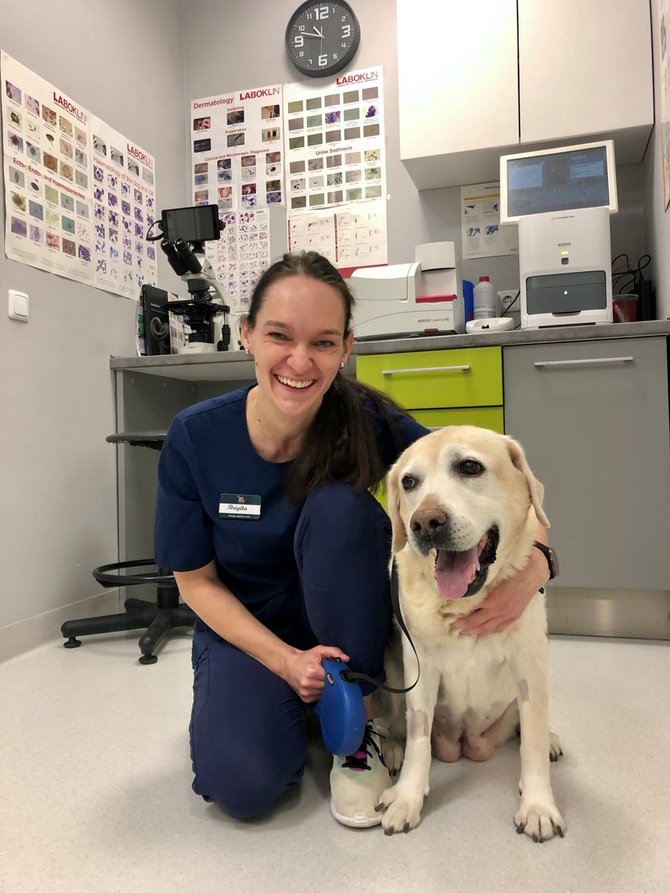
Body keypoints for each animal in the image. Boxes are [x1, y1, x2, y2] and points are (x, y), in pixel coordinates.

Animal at [378, 426, 568, 844]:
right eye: (409, 482)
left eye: (469, 467)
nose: (424, 522)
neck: (463, 604)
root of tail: (467, 742)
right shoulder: (420, 670)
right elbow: (418, 738)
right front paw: (407, 797)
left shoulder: (530, 664)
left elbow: (531, 741)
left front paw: (538, 806)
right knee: (396, 726)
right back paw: (393, 749)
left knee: (530, 725)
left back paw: (551, 740)